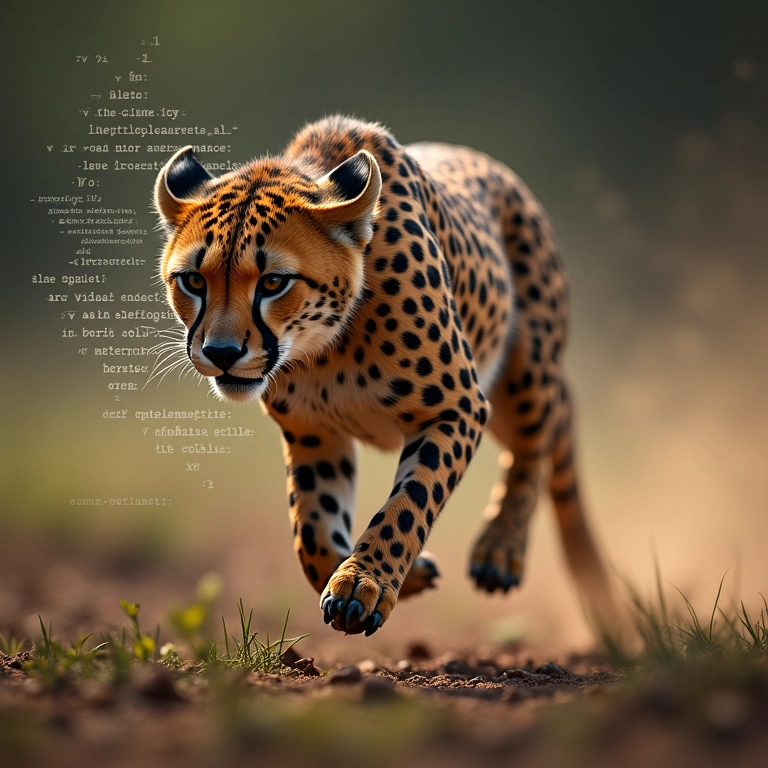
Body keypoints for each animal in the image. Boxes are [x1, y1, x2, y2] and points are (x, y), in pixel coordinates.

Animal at [153, 116, 616, 636]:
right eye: (194, 280)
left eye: (274, 282)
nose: (221, 353)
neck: (326, 344)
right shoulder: (313, 432)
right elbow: (311, 531)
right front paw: (387, 576)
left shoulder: (457, 406)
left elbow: (410, 502)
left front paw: (364, 582)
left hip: (525, 373)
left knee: (535, 445)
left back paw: (501, 550)